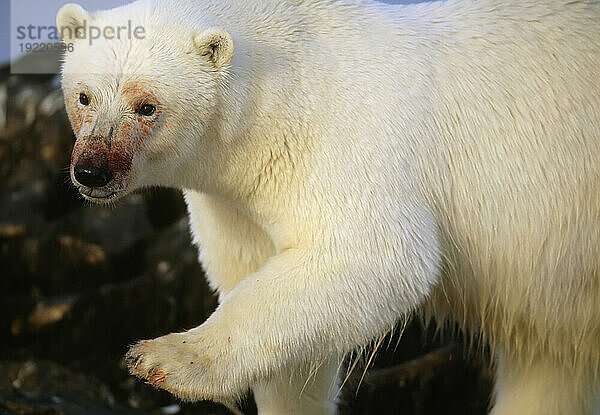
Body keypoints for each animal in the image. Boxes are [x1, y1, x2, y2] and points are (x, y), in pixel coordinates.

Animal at [57, 0, 600, 414]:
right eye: (84, 96)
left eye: (146, 105)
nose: (92, 171)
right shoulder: (235, 202)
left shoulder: (348, 145)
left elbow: (372, 258)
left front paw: (166, 358)